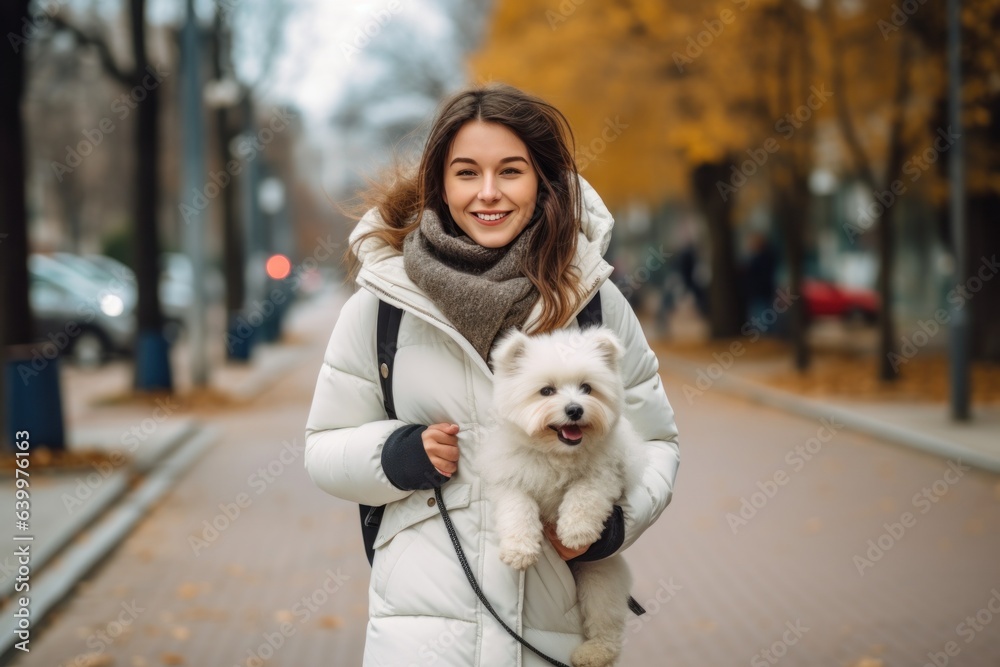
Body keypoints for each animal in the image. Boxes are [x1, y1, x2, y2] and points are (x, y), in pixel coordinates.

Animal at [482, 326, 640, 664]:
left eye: (587, 388)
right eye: (546, 391)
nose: (575, 409)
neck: (557, 454)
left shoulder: (604, 474)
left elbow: (584, 494)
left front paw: (576, 532)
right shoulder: (510, 479)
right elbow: (518, 510)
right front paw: (520, 549)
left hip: (599, 577)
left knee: (606, 626)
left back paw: (592, 654)